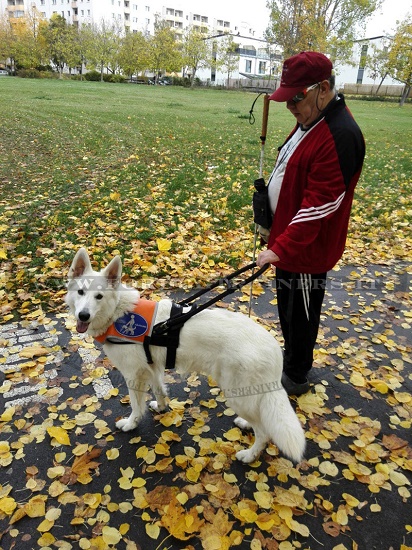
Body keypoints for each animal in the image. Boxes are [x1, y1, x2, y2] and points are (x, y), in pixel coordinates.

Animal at [66, 250, 304, 466]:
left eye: (99, 297)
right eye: (80, 292)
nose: (83, 316)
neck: (118, 313)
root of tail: (273, 348)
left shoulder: (133, 375)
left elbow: (135, 405)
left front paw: (131, 424)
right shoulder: (152, 369)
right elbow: (160, 390)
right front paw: (161, 407)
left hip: (236, 394)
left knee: (263, 432)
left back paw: (250, 455)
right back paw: (246, 424)